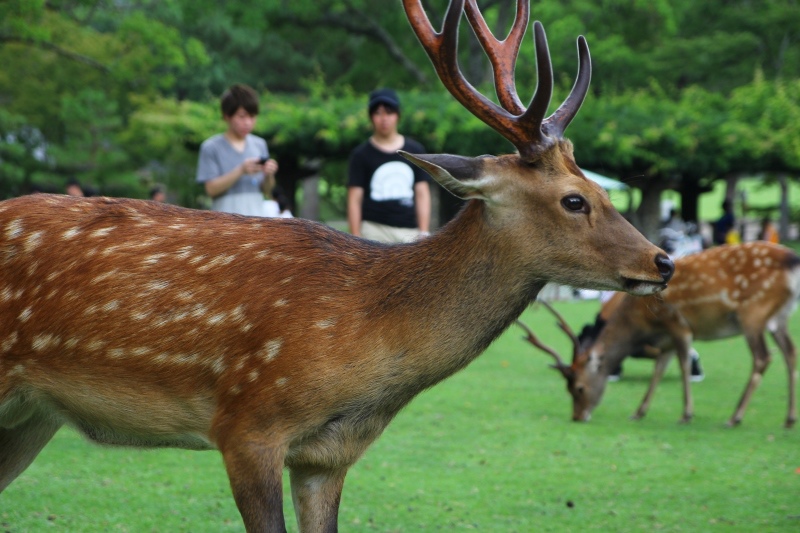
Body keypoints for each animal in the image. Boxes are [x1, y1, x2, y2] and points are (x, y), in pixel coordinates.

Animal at [0, 1, 676, 532]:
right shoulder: (246, 425)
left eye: (605, 187)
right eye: (574, 199)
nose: (664, 261)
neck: (363, 358)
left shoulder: (328, 456)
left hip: (32, 414)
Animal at [520, 241, 796, 428]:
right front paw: (638, 412)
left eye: (578, 388)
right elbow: (659, 370)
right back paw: (789, 419)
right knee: (790, 352)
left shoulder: (678, 325)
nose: (577, 416)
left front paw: (686, 414)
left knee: (763, 357)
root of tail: (793, 261)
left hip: (753, 314)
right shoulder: (665, 341)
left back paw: (735, 416)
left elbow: (683, 366)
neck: (641, 323)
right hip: (779, 317)